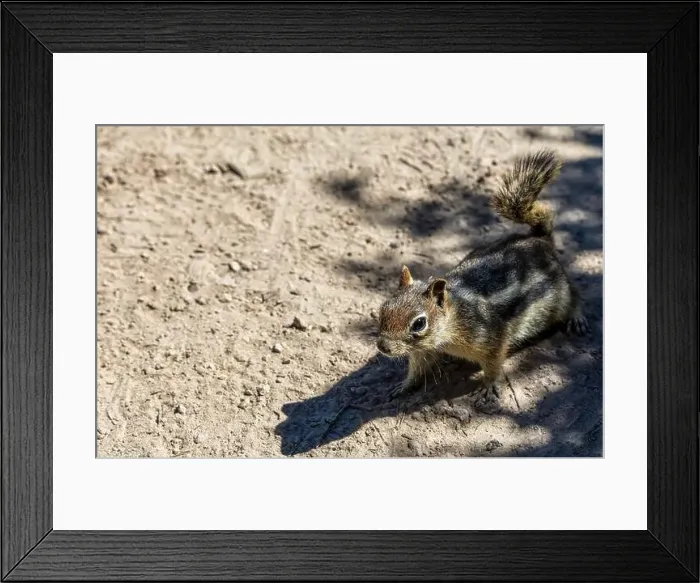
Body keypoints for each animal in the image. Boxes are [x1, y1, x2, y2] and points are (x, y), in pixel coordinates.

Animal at [376, 149, 589, 408]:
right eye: (383, 309)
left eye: (419, 323)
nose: (382, 346)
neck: (453, 320)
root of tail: (539, 239)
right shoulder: (423, 350)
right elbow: (417, 369)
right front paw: (404, 386)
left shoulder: (493, 341)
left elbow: (493, 366)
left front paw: (487, 387)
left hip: (559, 296)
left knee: (574, 295)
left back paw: (577, 318)